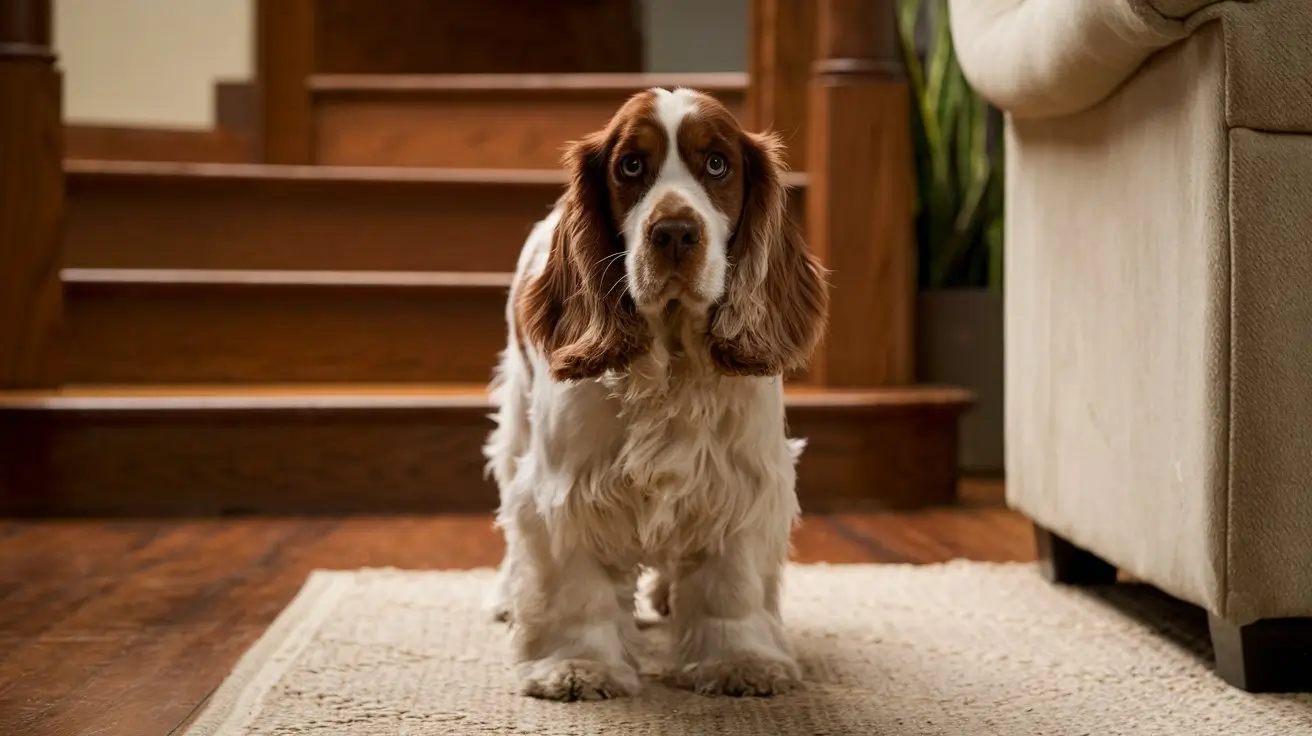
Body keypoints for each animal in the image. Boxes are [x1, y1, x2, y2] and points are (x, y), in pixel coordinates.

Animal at [482, 85, 829, 697]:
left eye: (717, 164)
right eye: (630, 166)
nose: (673, 232)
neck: (672, 359)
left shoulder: (742, 480)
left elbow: (730, 586)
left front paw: (740, 660)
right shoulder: (566, 487)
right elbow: (574, 585)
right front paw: (578, 665)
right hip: (517, 423)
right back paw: (507, 597)